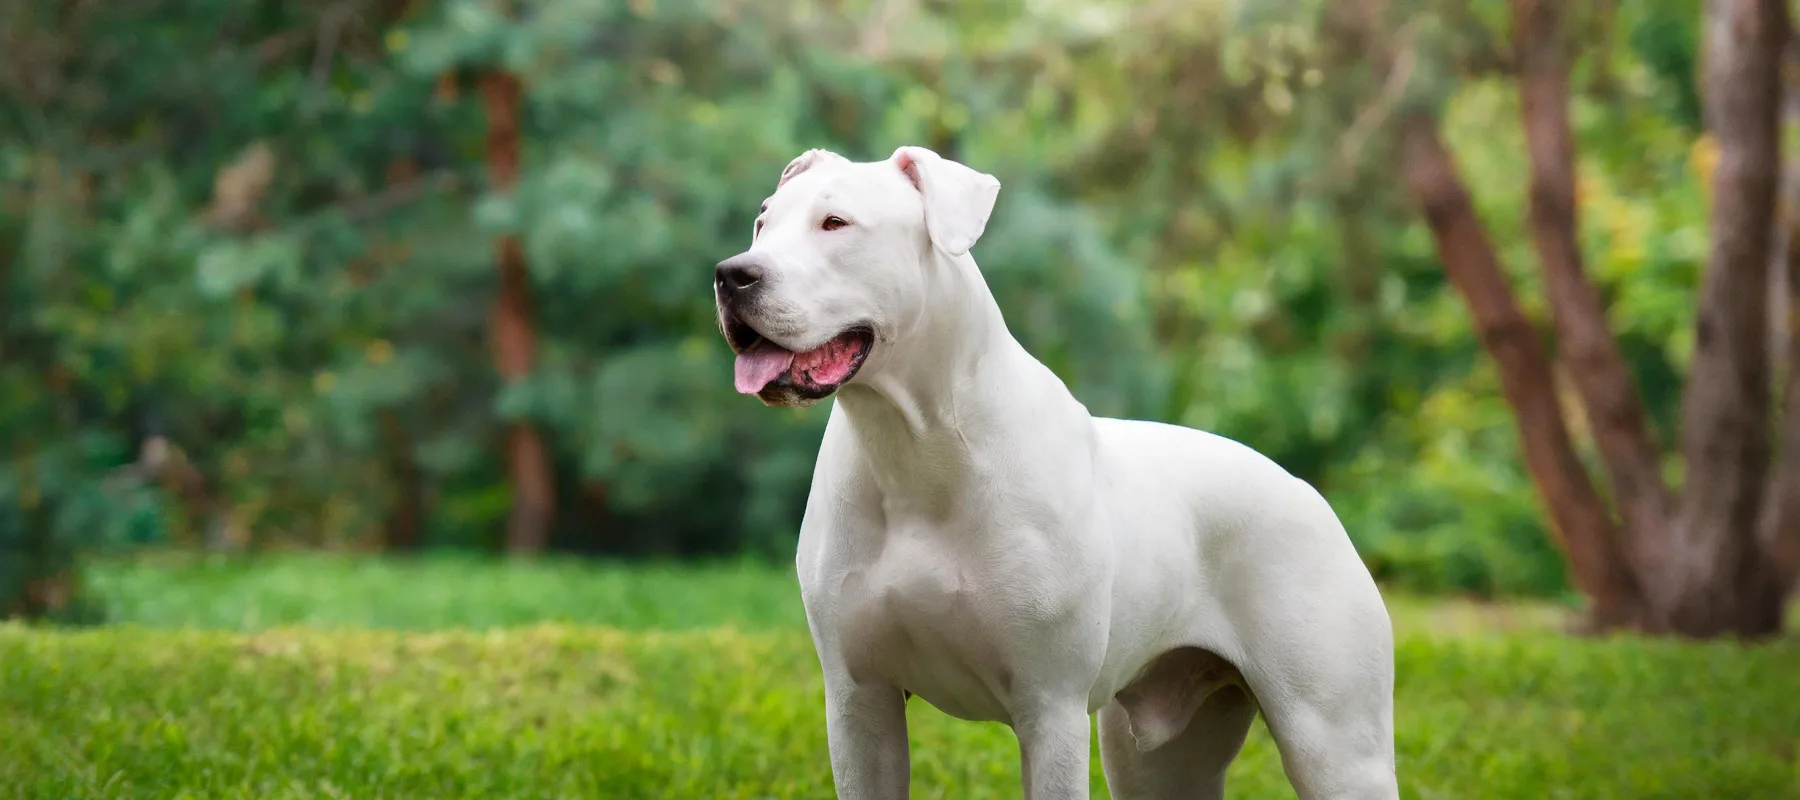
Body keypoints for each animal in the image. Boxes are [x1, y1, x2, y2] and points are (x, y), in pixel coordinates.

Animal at [712, 145, 1389, 800]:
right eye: (763, 224)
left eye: (835, 223)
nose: (732, 273)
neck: (914, 444)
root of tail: (1306, 491)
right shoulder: (859, 704)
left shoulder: (1050, 707)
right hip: (1159, 761)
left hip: (1335, 744)